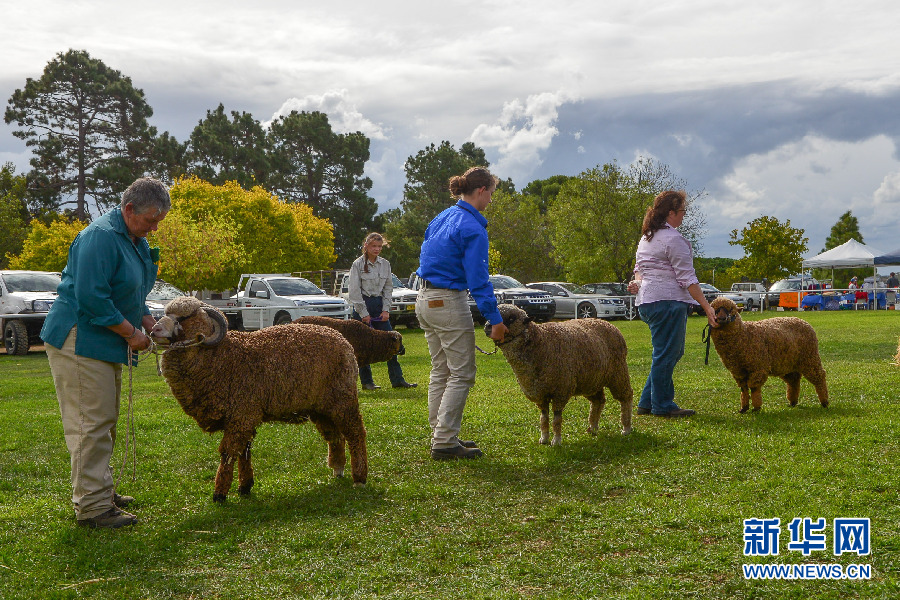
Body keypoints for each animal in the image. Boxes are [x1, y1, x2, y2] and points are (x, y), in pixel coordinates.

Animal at [149, 296, 368, 502]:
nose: (153, 330)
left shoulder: (241, 414)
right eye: (167, 313)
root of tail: (342, 340)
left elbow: (228, 453)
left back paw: (359, 477)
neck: (222, 356)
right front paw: (245, 486)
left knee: (356, 433)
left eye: (184, 318)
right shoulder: (243, 418)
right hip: (321, 407)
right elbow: (244, 452)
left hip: (343, 397)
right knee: (335, 436)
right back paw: (338, 470)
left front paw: (220, 494)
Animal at [486, 304, 632, 446]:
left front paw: (556, 441)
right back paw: (593, 428)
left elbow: (556, 419)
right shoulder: (540, 393)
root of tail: (606, 323)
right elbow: (543, 418)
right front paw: (544, 438)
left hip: (618, 373)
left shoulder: (560, 391)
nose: (487, 327)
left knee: (626, 397)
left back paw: (626, 428)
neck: (541, 342)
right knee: (599, 401)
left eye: (511, 318)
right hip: (591, 380)